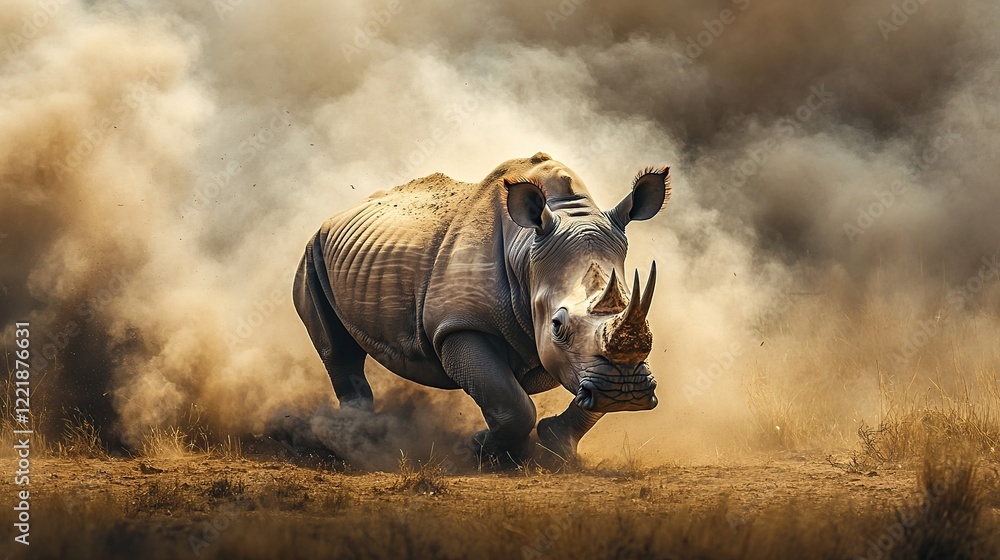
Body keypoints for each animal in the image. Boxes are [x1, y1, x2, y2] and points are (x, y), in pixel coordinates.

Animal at [292, 152, 670, 464]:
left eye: (647, 326)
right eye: (557, 326)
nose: (625, 391)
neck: (526, 255)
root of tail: (337, 214)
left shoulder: (592, 365)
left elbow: (585, 393)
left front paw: (554, 446)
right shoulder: (459, 325)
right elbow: (511, 403)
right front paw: (481, 450)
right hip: (313, 250)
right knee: (337, 350)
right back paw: (358, 438)